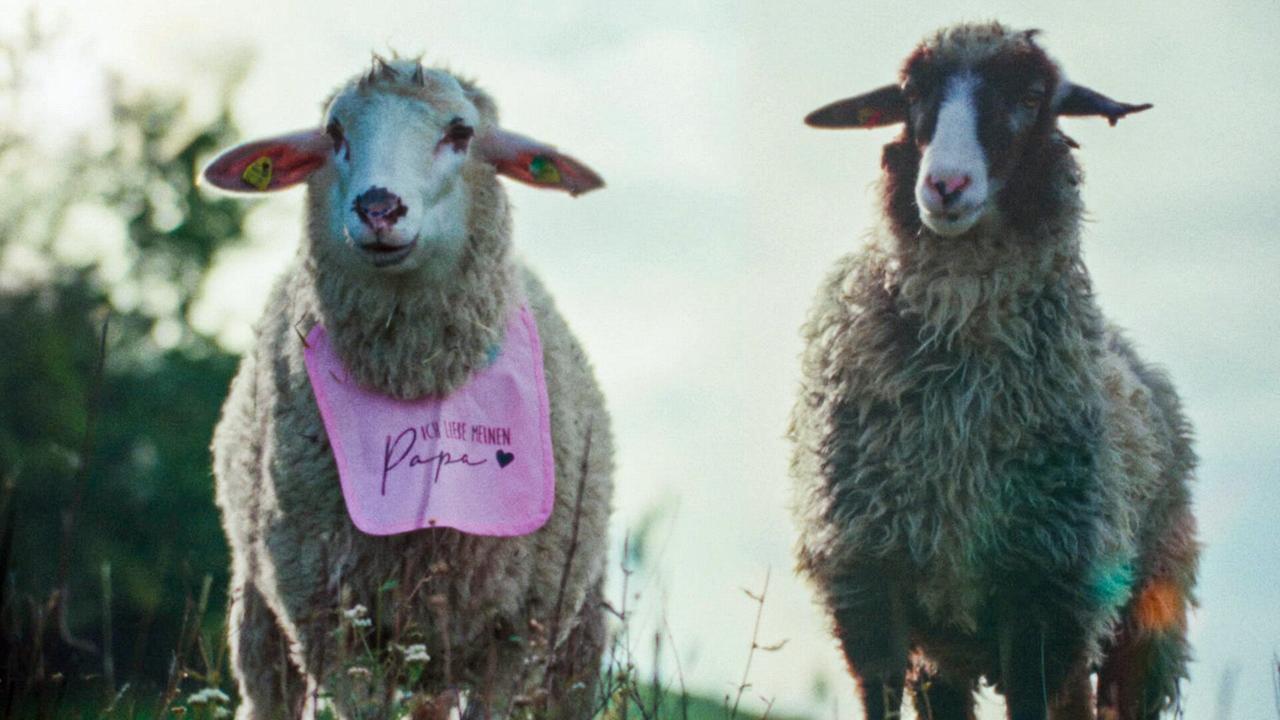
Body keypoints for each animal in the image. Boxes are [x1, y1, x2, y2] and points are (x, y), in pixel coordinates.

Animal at [202, 57, 613, 719]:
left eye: (462, 132)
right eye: (334, 132)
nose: (377, 208)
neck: (417, 380)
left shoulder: (512, 636)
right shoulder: (332, 622)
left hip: (569, 635)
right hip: (267, 608)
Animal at [789, 23, 1198, 720]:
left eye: (1033, 96)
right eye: (910, 92)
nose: (945, 186)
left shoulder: (1041, 590)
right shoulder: (868, 580)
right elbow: (880, 695)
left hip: (1141, 624)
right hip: (964, 645)